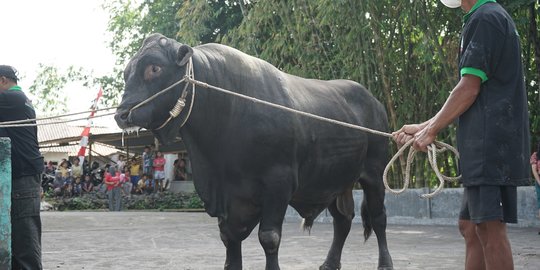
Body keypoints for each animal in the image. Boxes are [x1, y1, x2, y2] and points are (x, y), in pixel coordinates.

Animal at [115, 34, 392, 270]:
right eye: (127, 72)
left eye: (154, 68)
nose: (122, 114)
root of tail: (375, 102)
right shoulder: (228, 198)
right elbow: (229, 239)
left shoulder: (278, 184)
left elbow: (269, 237)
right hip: (334, 181)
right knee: (343, 220)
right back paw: (329, 263)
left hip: (374, 173)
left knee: (379, 218)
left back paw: (385, 263)